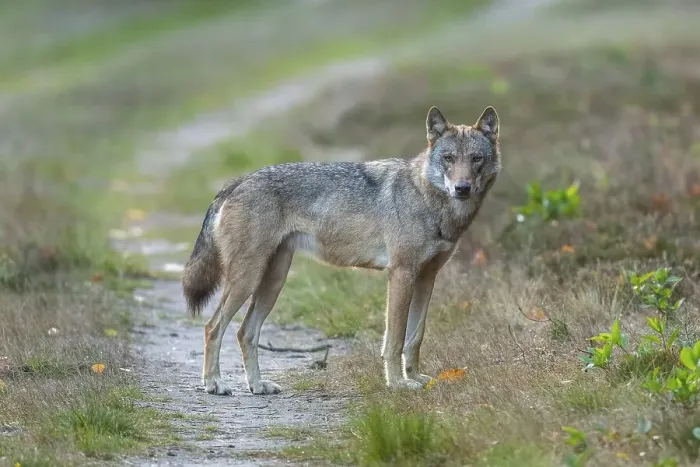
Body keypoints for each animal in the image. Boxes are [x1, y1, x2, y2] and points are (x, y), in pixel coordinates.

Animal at [182, 105, 501, 395]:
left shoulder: (426, 278)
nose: (462, 188)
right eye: (449, 158)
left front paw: (418, 379)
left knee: (244, 331)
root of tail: (237, 181)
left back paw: (258, 386)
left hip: (273, 282)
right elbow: (395, 339)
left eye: (476, 159)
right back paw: (214, 384)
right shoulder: (400, 274)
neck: (429, 200)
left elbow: (415, 336)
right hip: (247, 280)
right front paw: (398, 384)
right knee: (212, 327)